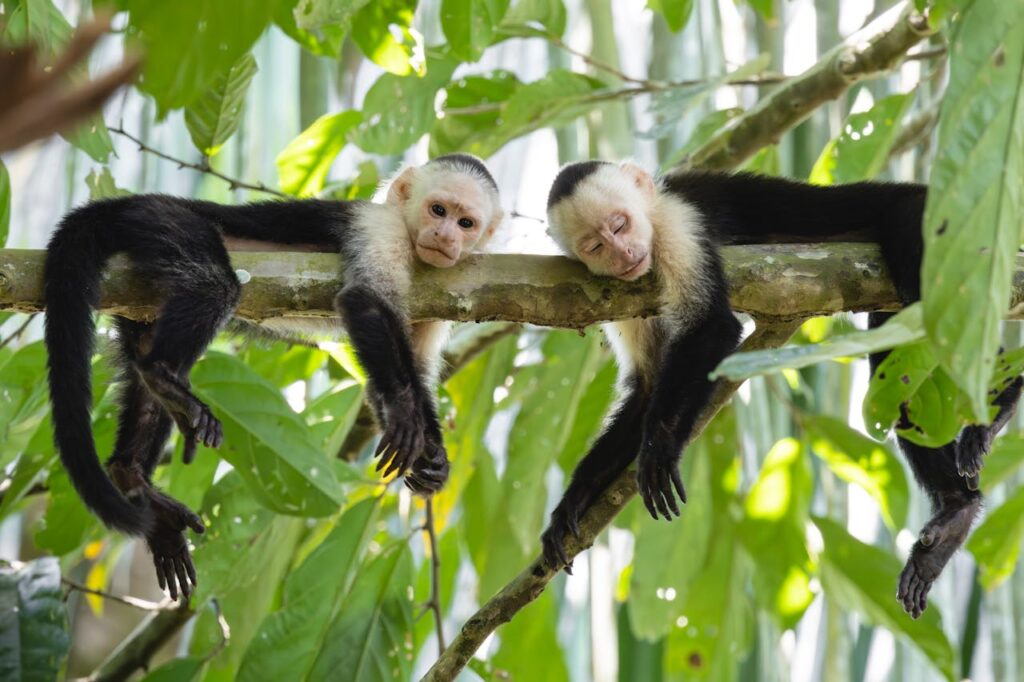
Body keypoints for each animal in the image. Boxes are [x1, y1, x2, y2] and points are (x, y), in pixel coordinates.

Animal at [46, 152, 505, 593]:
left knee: (143, 361)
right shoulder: (380, 228)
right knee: (214, 283)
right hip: (161, 222)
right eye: (437, 210)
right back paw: (164, 375)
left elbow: (404, 376)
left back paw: (133, 472)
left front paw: (433, 458)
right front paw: (407, 416)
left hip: (137, 302)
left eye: (465, 223)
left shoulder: (444, 286)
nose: (445, 236)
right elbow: (365, 300)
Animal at [540, 159, 1019, 614]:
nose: (623, 254)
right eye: (596, 246)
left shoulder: (678, 226)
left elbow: (713, 328)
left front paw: (659, 448)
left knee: (932, 305)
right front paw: (574, 499)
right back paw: (955, 511)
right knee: (896, 356)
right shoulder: (623, 294)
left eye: (620, 225)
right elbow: (648, 387)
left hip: (924, 218)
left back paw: (1000, 403)